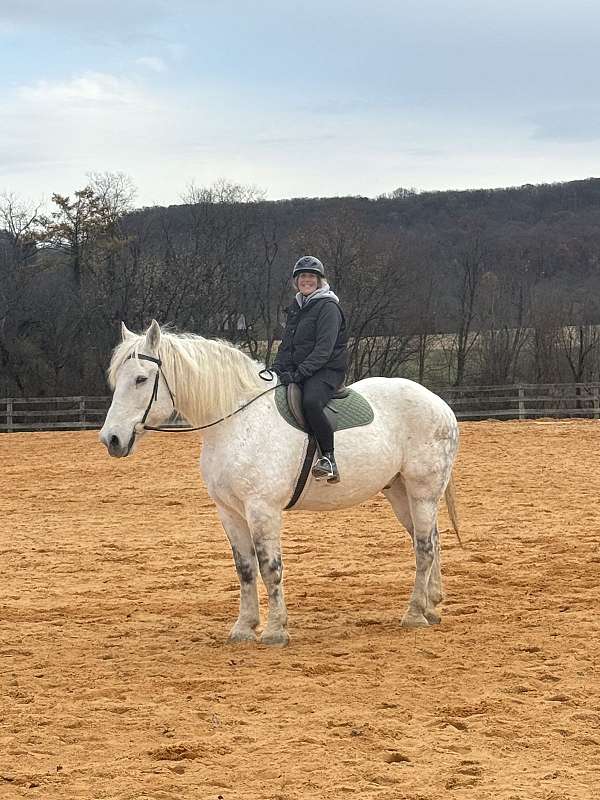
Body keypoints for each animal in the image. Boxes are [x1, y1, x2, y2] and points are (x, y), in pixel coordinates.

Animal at [100, 320, 460, 646]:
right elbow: (245, 568)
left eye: (141, 378)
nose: (111, 439)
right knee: (430, 540)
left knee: (425, 547)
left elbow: (269, 566)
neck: (236, 420)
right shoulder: (229, 512)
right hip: (399, 492)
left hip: (423, 491)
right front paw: (244, 628)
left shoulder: (263, 509)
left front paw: (275, 631)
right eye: (117, 379)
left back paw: (414, 614)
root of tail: (439, 404)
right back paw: (431, 607)